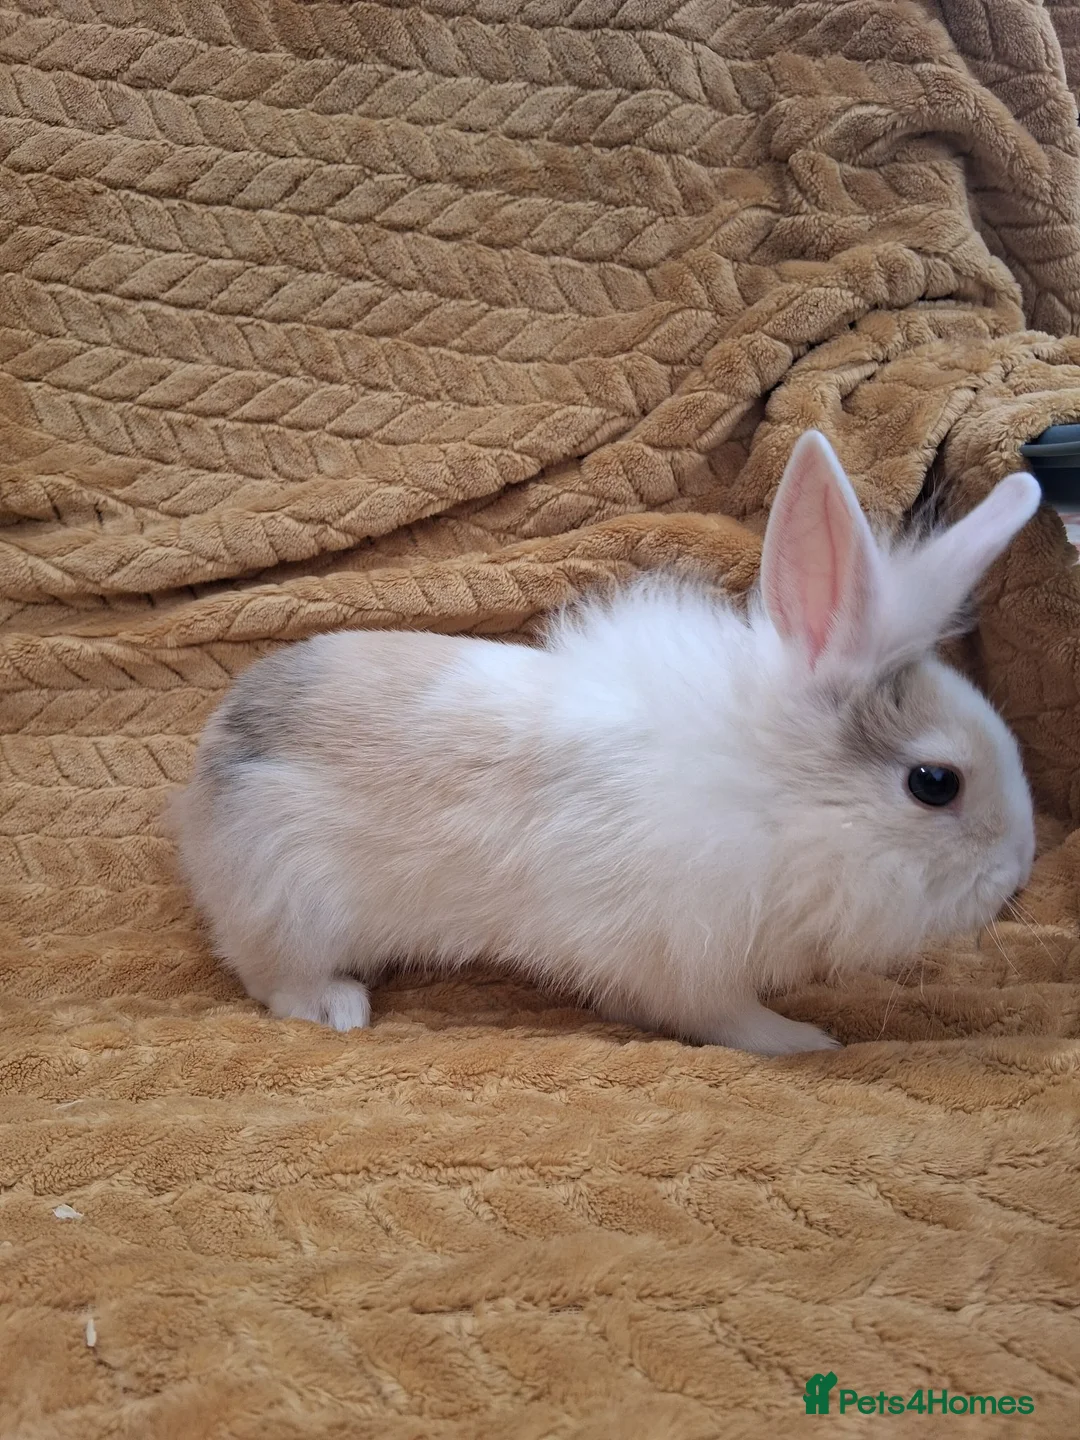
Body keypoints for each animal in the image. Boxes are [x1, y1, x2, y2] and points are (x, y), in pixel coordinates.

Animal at [171, 431, 1040, 1055]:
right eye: (935, 782)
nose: (1017, 873)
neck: (776, 796)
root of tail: (209, 764)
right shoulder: (687, 958)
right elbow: (727, 1020)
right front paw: (806, 1041)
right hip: (292, 902)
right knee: (275, 980)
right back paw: (340, 1008)